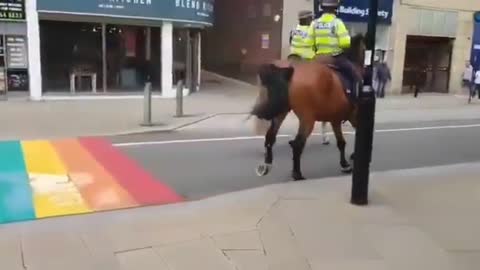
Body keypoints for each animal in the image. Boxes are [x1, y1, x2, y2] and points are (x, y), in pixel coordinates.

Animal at [249, 34, 366, 181]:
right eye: (365, 49)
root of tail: (291, 70)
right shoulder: (352, 116)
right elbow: (351, 136)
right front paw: (351, 159)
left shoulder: (335, 119)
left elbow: (341, 142)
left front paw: (345, 163)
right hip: (307, 119)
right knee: (298, 144)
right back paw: (297, 173)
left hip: (282, 113)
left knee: (270, 137)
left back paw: (267, 165)